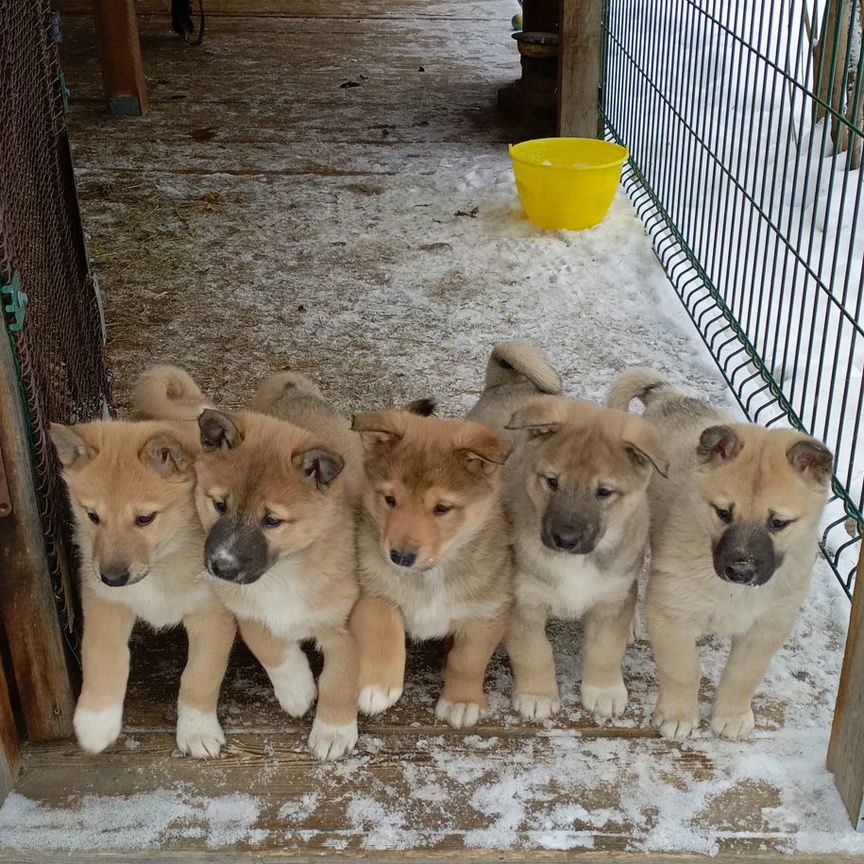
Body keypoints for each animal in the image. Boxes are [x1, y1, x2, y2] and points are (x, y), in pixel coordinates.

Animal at [47, 418, 236, 756]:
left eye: (145, 518)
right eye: (92, 515)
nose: (112, 578)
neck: (160, 567)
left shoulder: (213, 614)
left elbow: (201, 674)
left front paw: (197, 729)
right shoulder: (103, 600)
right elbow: (102, 654)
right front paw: (96, 720)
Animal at [134, 368, 362, 760]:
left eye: (271, 521)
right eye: (219, 505)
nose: (221, 567)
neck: (285, 573)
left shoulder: (346, 622)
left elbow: (341, 678)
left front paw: (333, 731)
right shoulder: (242, 607)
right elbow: (268, 644)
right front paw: (297, 689)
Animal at [350, 408, 512, 724]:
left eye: (442, 508)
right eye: (390, 499)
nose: (400, 556)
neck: (428, 577)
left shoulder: (488, 612)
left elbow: (469, 660)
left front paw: (462, 701)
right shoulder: (371, 591)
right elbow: (382, 630)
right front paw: (377, 686)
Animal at [470, 340, 664, 720]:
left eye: (604, 492)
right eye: (552, 482)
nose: (565, 539)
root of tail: (504, 382)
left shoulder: (610, 603)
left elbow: (605, 650)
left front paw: (604, 691)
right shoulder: (523, 604)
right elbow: (534, 653)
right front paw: (537, 695)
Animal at [608, 368, 832, 740]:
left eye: (778, 522)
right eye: (723, 513)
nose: (740, 571)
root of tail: (668, 396)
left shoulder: (768, 625)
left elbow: (744, 675)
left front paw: (732, 716)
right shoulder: (671, 612)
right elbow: (683, 669)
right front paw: (677, 715)